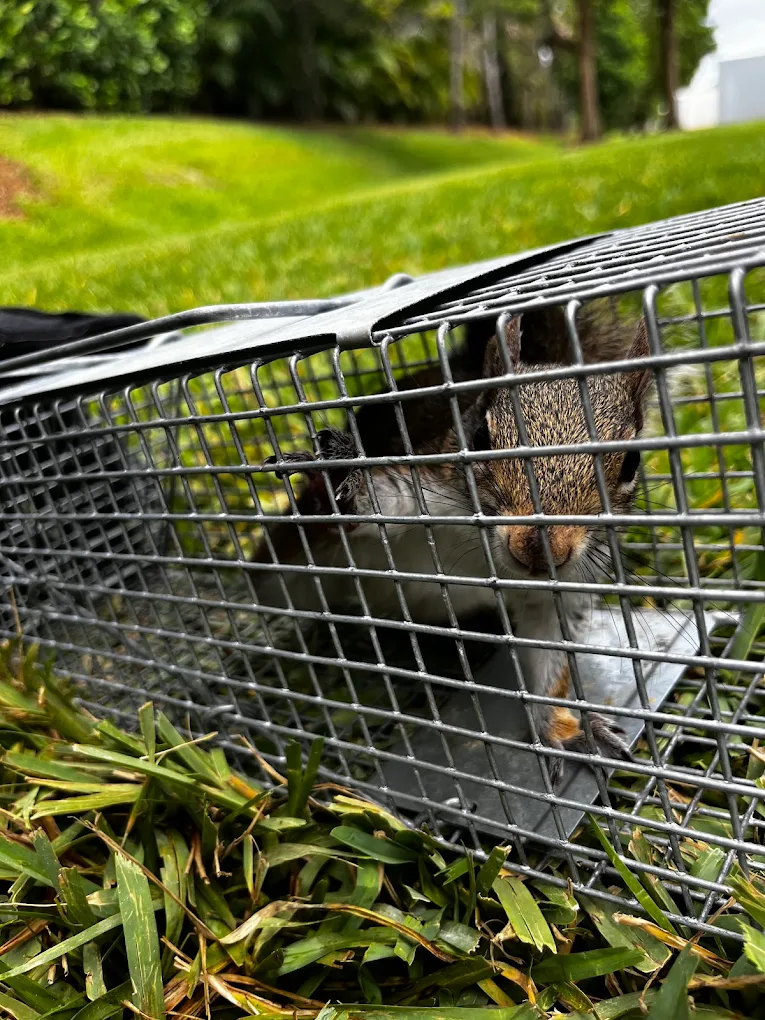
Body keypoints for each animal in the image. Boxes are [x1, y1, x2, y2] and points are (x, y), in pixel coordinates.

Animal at [252, 307, 652, 786]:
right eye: (479, 436)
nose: (540, 551)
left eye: (631, 462)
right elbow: (379, 501)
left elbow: (550, 651)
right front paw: (339, 474)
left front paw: (567, 727)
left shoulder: (559, 588)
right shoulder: (424, 489)